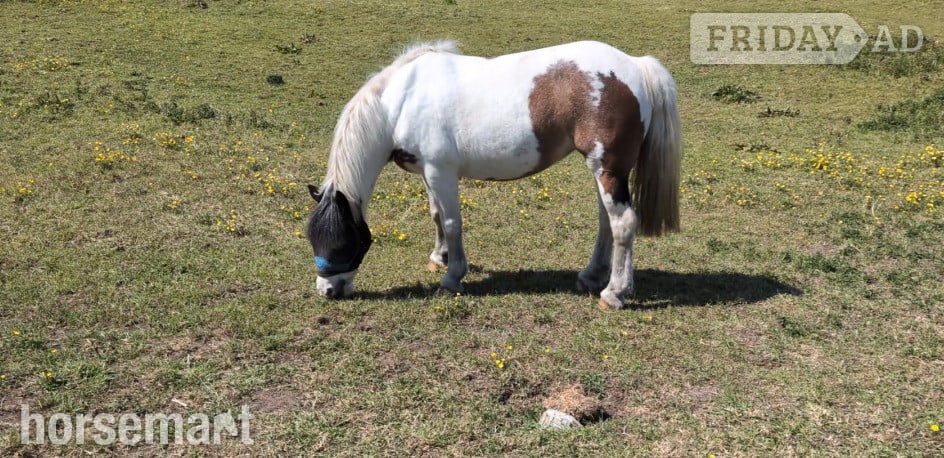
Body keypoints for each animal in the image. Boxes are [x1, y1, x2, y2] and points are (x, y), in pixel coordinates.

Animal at [306, 40, 682, 309]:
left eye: (343, 242)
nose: (328, 290)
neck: (399, 103)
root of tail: (636, 64)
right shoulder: (428, 171)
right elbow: (435, 214)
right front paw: (439, 259)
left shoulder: (440, 171)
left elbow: (451, 223)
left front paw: (452, 277)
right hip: (604, 171)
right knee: (607, 222)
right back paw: (591, 277)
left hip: (608, 169)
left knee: (623, 224)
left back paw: (614, 293)